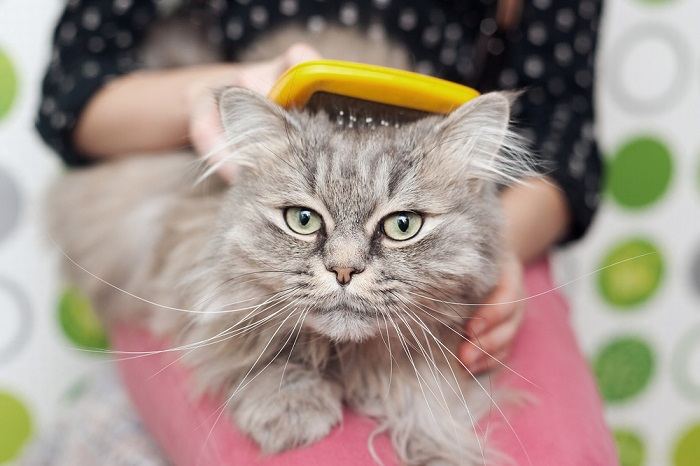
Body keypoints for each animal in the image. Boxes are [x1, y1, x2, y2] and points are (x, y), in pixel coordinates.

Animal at [46, 19, 532, 466]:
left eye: (402, 226)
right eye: (302, 220)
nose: (344, 270)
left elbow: (428, 410)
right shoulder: (193, 272)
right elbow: (258, 350)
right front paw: (291, 411)